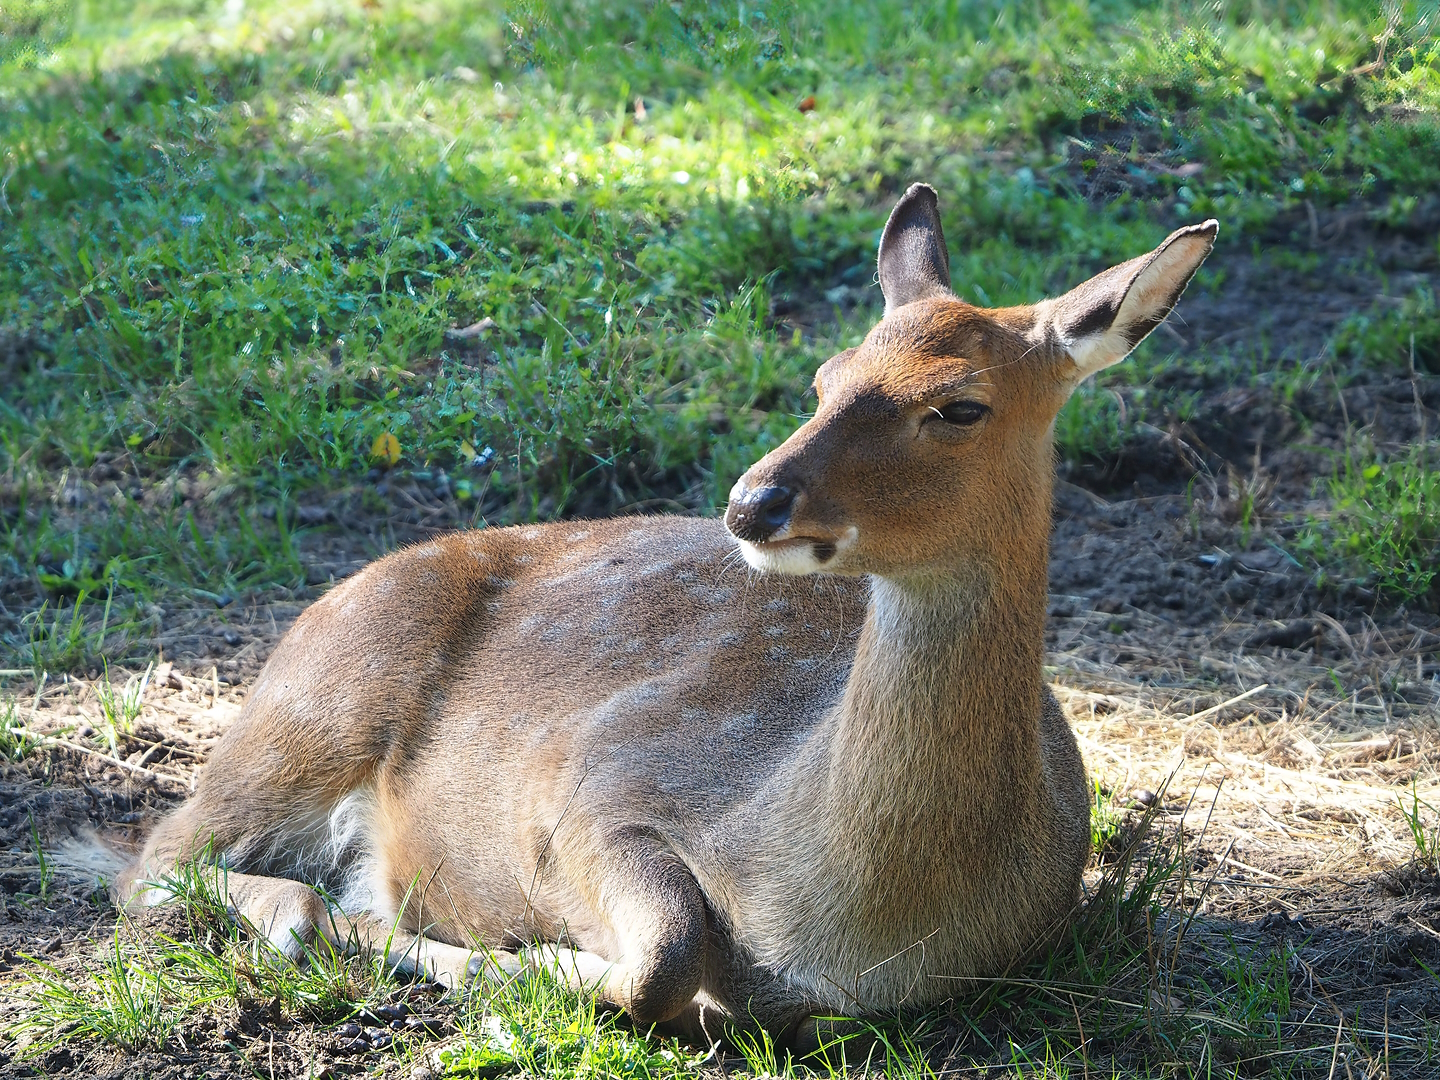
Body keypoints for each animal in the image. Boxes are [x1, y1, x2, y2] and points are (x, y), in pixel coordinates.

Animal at [110, 184, 1216, 1045]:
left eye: (960, 404)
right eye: (824, 377)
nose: (753, 502)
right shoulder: (597, 782)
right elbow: (659, 960)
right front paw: (485, 959)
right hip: (311, 710)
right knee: (156, 860)